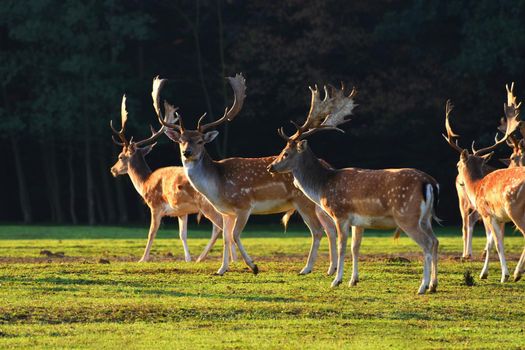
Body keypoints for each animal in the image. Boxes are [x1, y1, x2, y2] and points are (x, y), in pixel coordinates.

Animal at [110, 76, 235, 262]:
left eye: (120, 157)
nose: (112, 169)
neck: (145, 183)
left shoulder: (155, 205)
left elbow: (151, 233)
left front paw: (143, 259)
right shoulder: (181, 211)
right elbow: (182, 235)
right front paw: (188, 259)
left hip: (207, 204)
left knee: (220, 227)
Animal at [156, 73, 338, 276]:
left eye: (200, 141)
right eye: (181, 140)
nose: (186, 152)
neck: (217, 186)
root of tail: (327, 166)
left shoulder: (244, 205)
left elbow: (235, 235)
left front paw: (254, 266)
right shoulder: (226, 212)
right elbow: (226, 237)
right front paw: (221, 269)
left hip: (303, 201)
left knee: (318, 230)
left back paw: (306, 268)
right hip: (318, 204)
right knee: (330, 228)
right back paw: (331, 268)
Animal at [268, 83, 440, 294]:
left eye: (285, 153)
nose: (271, 167)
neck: (323, 186)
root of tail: (429, 182)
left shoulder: (340, 214)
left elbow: (342, 246)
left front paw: (336, 280)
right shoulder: (359, 222)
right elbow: (355, 248)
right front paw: (353, 280)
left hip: (407, 216)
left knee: (427, 243)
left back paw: (423, 286)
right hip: (425, 218)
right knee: (435, 241)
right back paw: (433, 285)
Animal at [442, 83, 524, 284]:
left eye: (457, 164)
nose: (459, 182)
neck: (477, 185)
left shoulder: (488, 213)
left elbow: (495, 243)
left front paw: (498, 274)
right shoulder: (498, 218)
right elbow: (494, 242)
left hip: (515, 210)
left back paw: (517, 272)